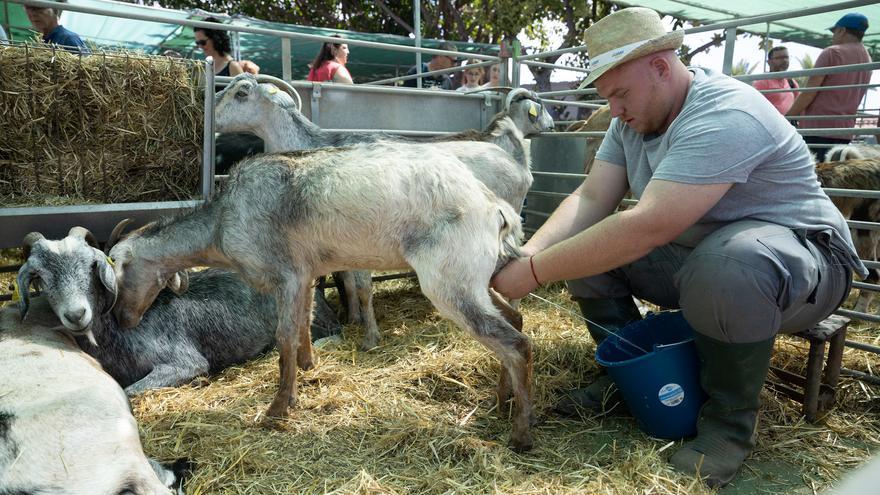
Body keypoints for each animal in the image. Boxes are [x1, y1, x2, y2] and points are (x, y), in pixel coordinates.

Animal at [110, 144, 536, 454]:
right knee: (514, 320)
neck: (219, 227)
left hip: (450, 278)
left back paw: (520, 434)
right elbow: (303, 322)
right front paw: (308, 368)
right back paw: (503, 399)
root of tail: (495, 207)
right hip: (479, 275)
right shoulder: (307, 273)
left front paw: (278, 409)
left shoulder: (286, 274)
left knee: (515, 342)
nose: (120, 319)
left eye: (117, 266)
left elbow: (283, 336)